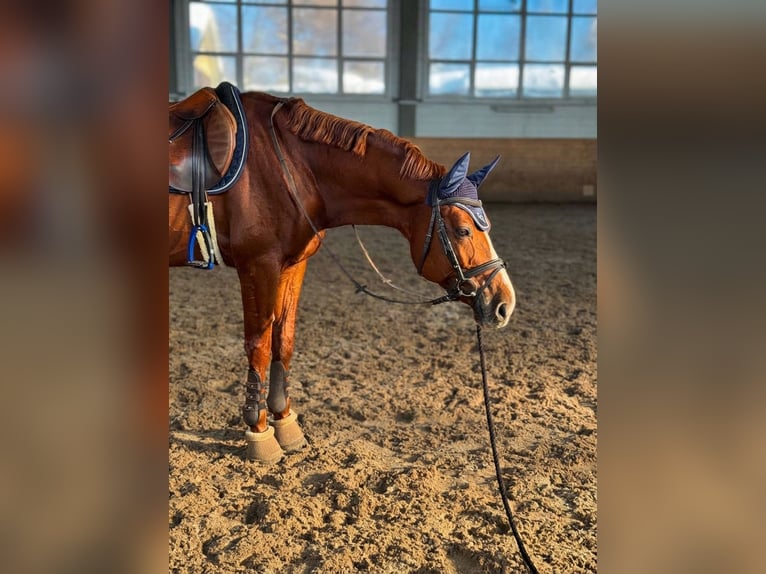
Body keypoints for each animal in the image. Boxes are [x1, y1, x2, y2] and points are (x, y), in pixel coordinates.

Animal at [169, 86, 516, 463]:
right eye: (463, 230)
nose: (504, 303)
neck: (289, 166)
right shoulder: (258, 265)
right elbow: (259, 346)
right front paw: (260, 434)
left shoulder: (292, 265)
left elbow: (283, 341)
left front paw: (285, 422)